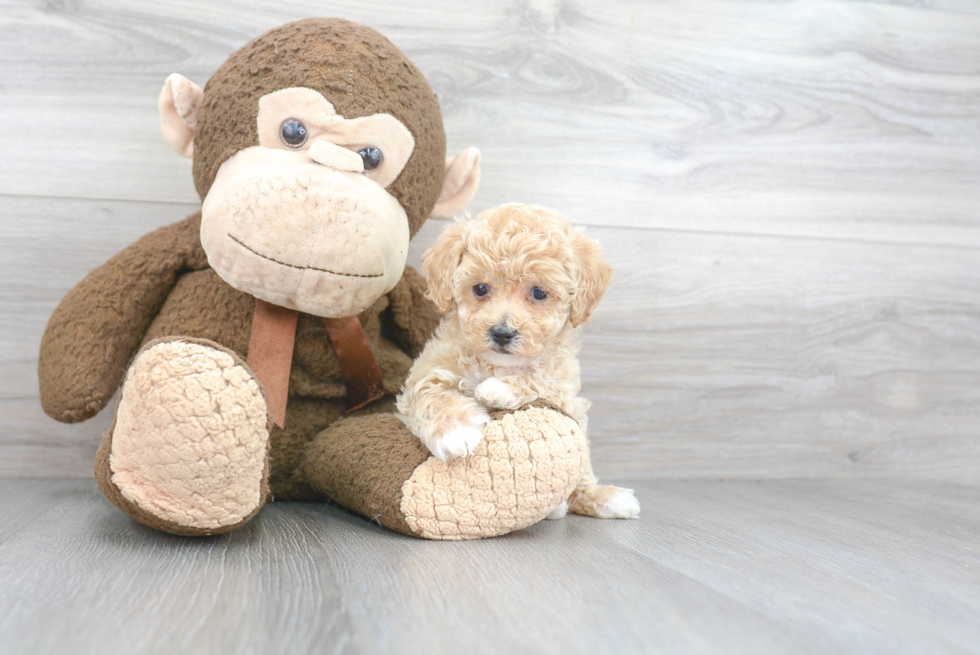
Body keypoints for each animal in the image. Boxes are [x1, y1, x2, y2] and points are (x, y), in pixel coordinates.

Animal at [394, 202, 640, 520]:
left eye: (538, 293)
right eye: (480, 289)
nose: (502, 332)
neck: (496, 364)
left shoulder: (565, 391)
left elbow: (540, 379)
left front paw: (498, 388)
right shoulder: (427, 371)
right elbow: (431, 394)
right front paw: (456, 431)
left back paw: (603, 498)